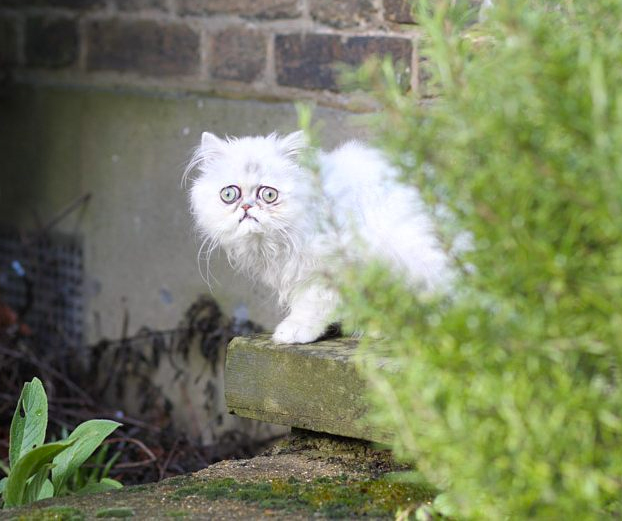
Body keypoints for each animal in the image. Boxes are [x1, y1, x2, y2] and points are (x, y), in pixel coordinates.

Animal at [185, 129, 454, 344]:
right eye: (229, 194)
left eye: (269, 195)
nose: (247, 207)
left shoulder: (330, 268)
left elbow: (314, 302)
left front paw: (294, 331)